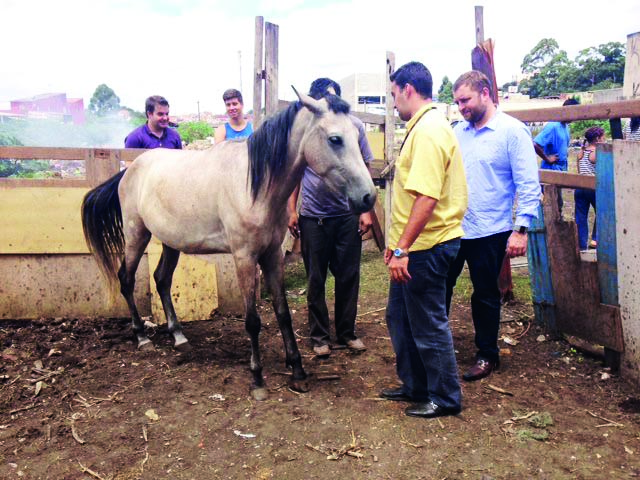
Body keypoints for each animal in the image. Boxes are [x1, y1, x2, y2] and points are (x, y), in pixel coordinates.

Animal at [82, 89, 378, 398]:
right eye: (335, 139)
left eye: (356, 136)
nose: (368, 197)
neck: (254, 186)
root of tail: (129, 171)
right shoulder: (244, 258)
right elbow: (252, 321)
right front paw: (258, 379)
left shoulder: (272, 256)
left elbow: (283, 313)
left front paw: (297, 371)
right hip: (136, 236)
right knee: (126, 279)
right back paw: (141, 337)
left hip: (170, 243)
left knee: (161, 280)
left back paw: (179, 336)